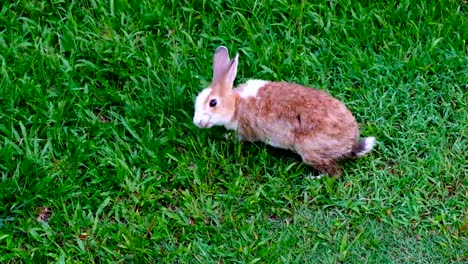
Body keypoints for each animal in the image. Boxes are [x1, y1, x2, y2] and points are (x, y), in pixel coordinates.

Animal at [192, 47, 374, 177]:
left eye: (213, 103)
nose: (196, 122)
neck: (236, 104)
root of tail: (349, 145)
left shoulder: (244, 130)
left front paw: (225, 137)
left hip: (308, 149)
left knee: (334, 172)